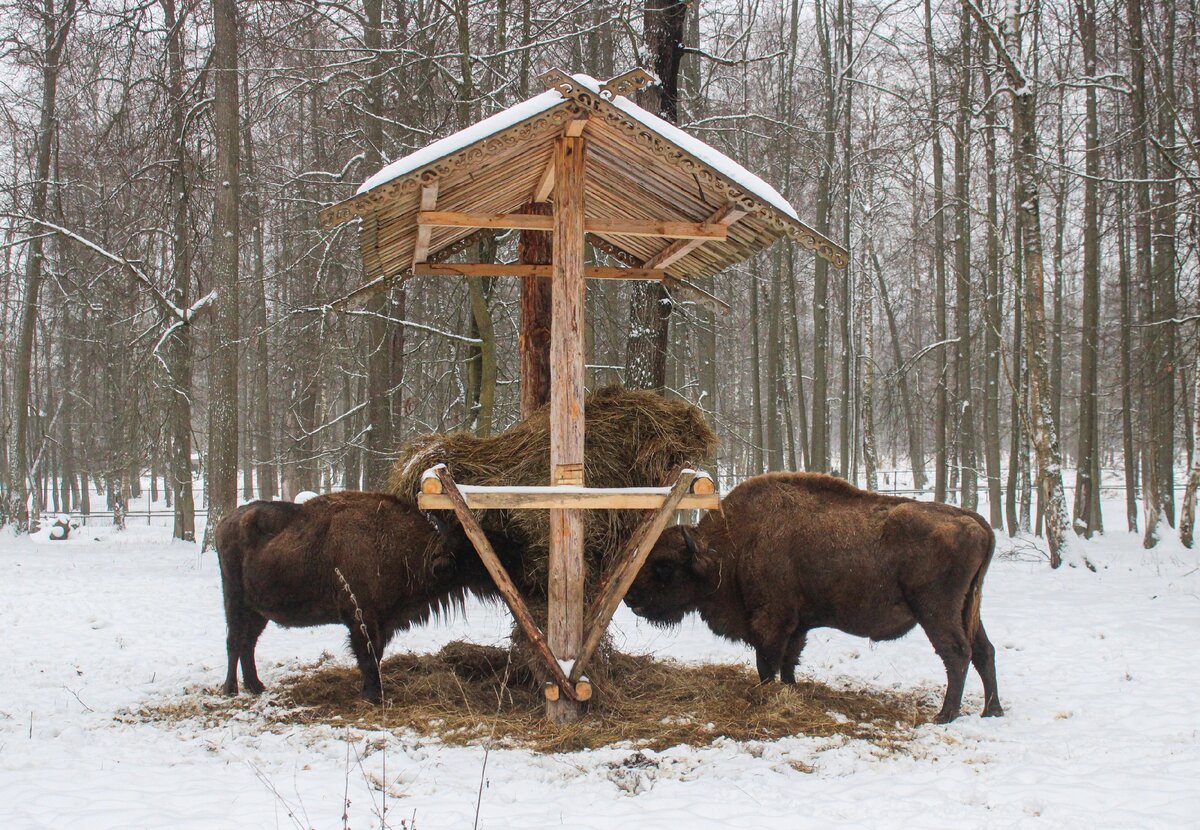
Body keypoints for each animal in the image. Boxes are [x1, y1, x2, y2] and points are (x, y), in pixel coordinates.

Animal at [218, 489, 494, 705]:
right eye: (469, 550)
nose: (495, 566)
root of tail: (225, 521)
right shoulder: (362, 619)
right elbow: (368, 657)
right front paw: (374, 696)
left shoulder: (381, 622)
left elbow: (376, 655)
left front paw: (371, 691)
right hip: (235, 601)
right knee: (234, 641)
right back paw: (231, 690)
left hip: (258, 611)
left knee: (248, 643)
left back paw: (256, 686)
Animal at [628, 472, 1003, 719]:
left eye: (664, 567)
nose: (630, 598)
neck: (729, 548)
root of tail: (975, 521)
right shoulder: (798, 624)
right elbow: (789, 661)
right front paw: (791, 690)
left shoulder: (772, 621)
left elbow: (768, 663)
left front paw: (768, 696)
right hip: (969, 607)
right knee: (984, 650)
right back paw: (991, 710)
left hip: (935, 610)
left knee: (957, 652)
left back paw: (946, 715)